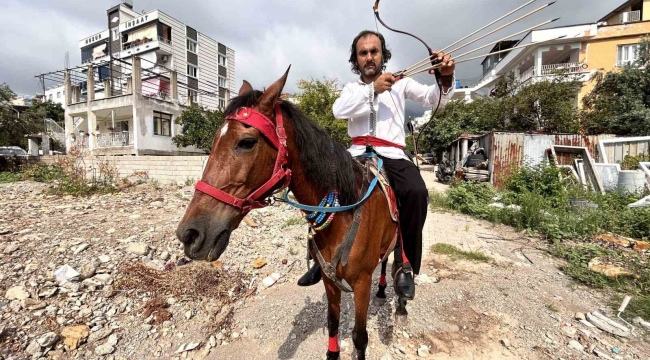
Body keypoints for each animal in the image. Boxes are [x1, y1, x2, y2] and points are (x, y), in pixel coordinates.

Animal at [175, 67, 402, 358]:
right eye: (214, 141)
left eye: (246, 142)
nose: (190, 234)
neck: (345, 213)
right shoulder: (329, 281)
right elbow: (332, 323)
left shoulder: (362, 283)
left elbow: (359, 337)